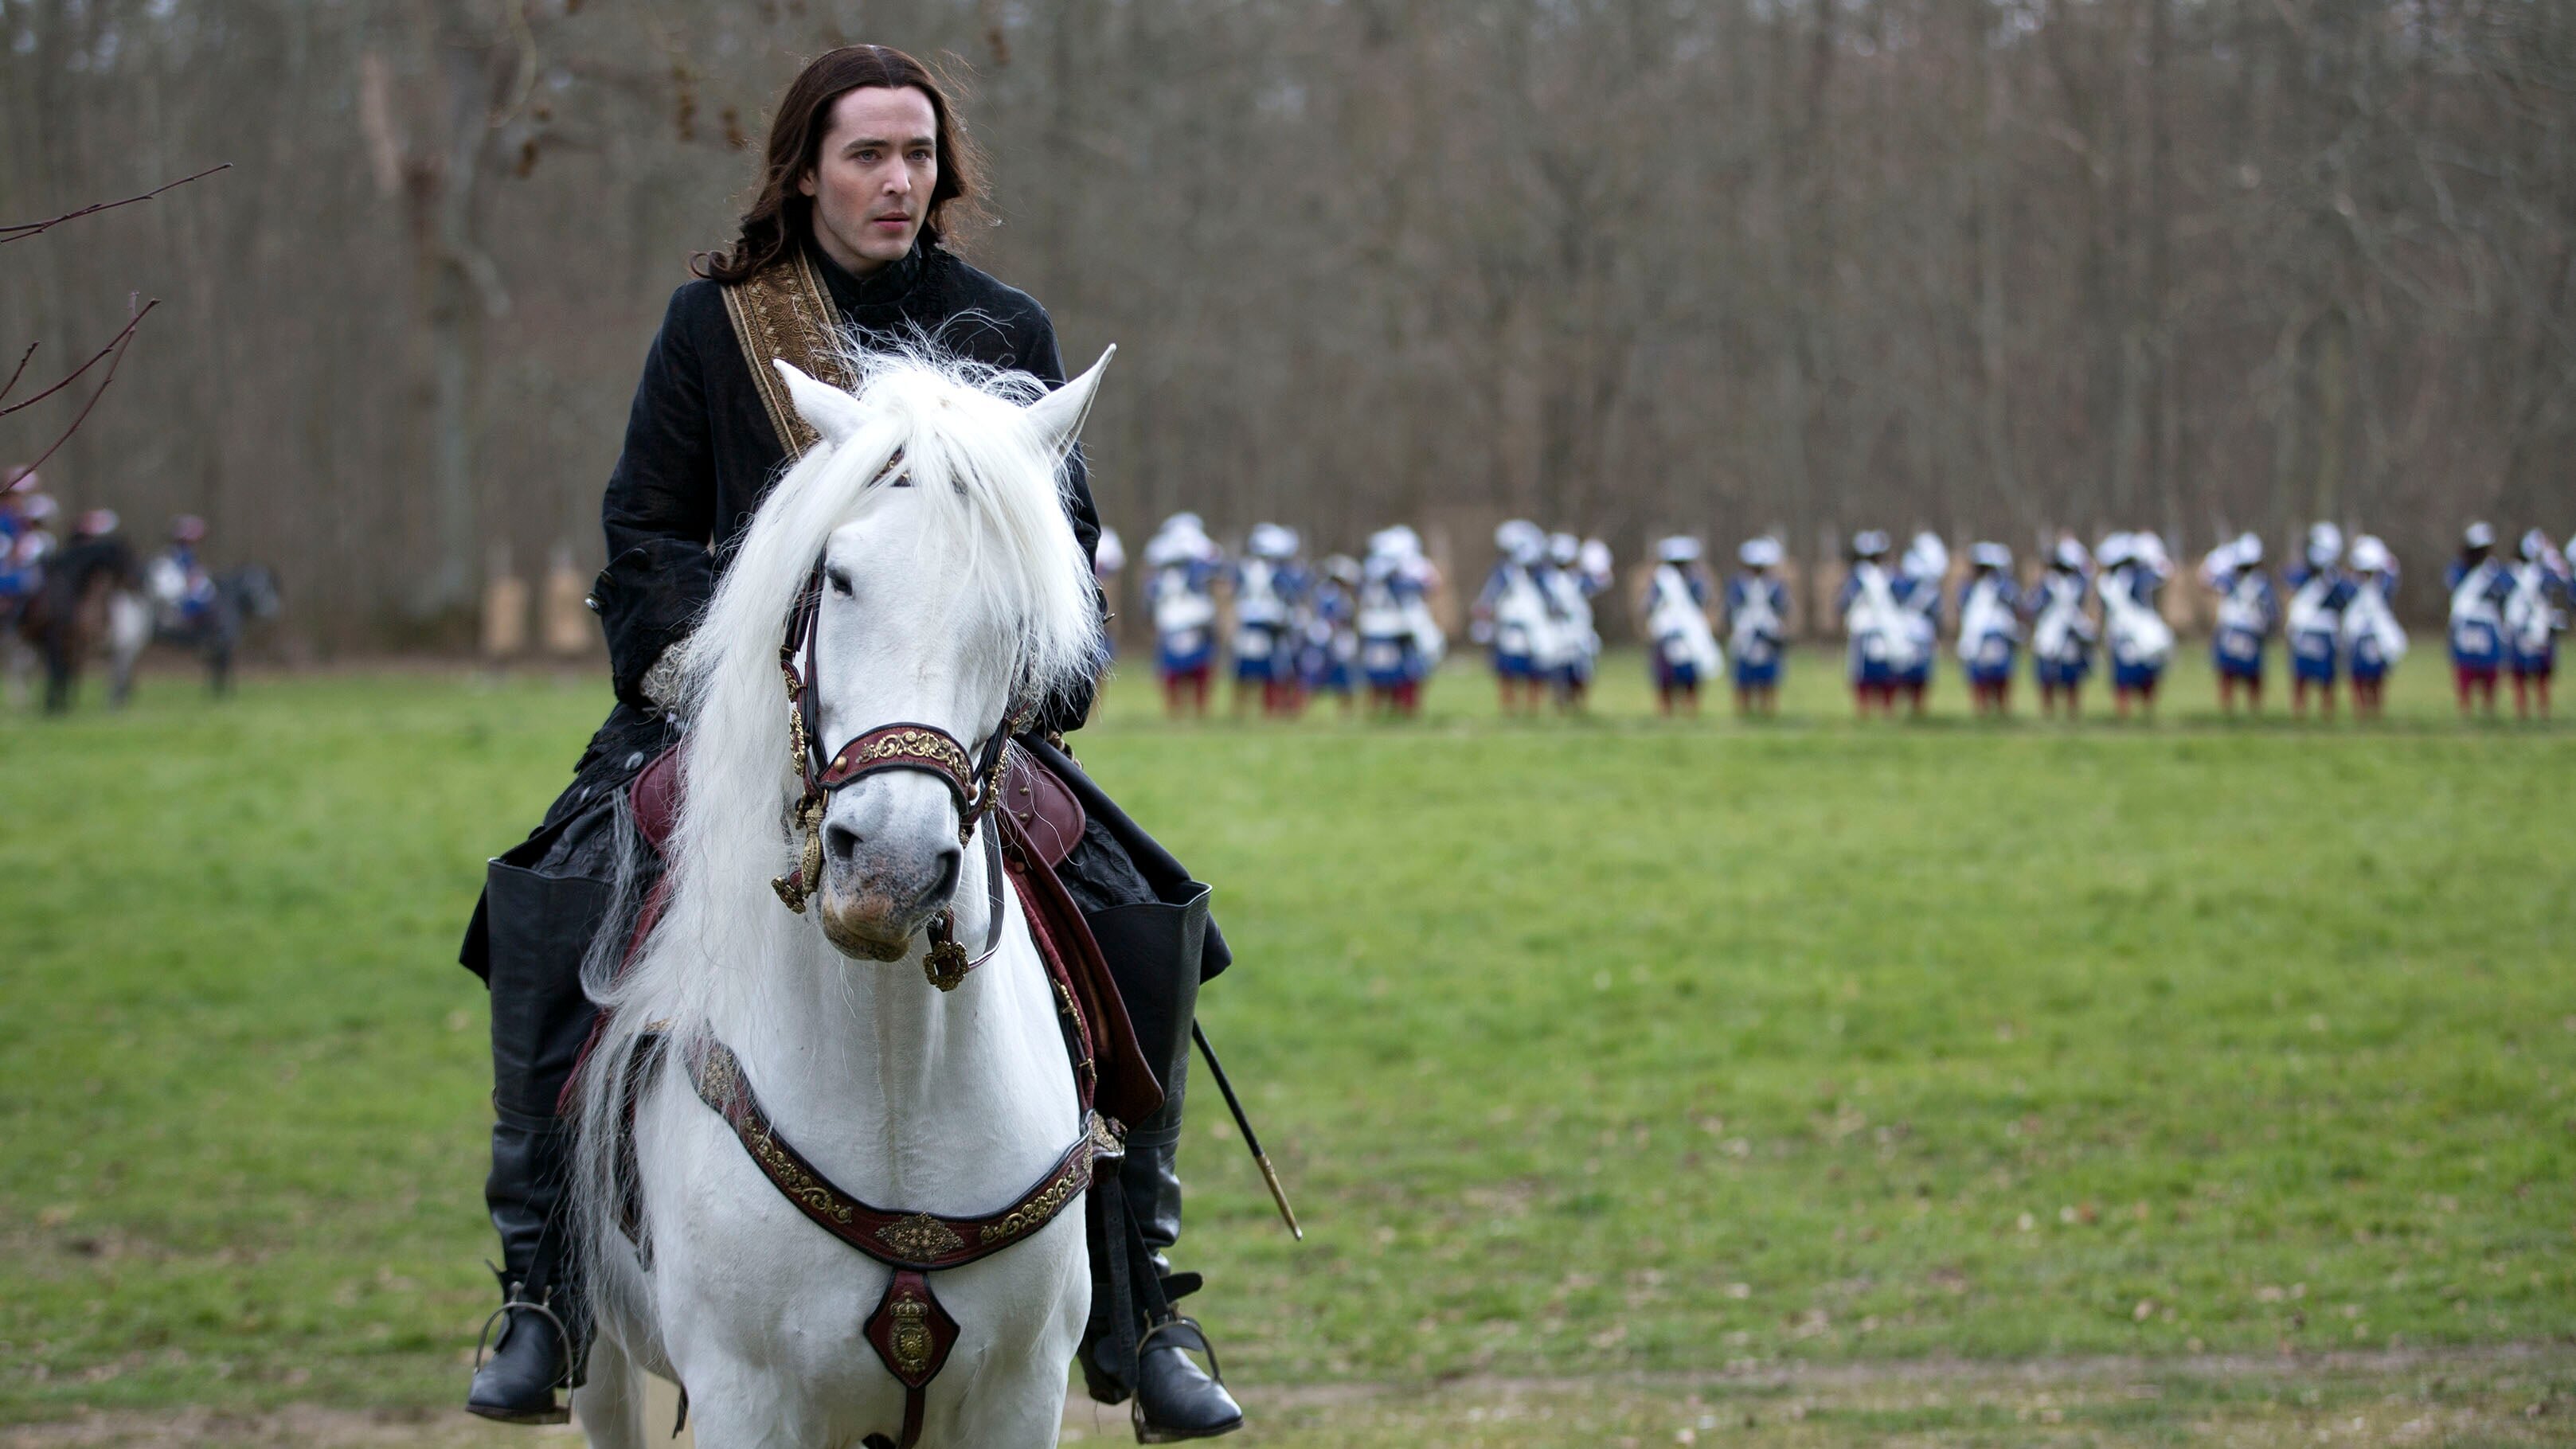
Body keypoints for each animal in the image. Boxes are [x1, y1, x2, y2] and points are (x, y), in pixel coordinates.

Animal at [569, 345, 1112, 1441]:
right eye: (840, 576)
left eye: (1018, 608)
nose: (889, 869)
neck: (895, 1067)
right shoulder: (743, 1394)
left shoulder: (1022, 1388)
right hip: (603, 1360)